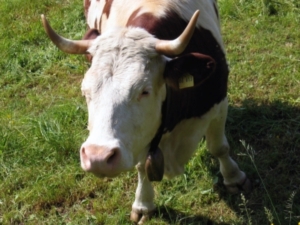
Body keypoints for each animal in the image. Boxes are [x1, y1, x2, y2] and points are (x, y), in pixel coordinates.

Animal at [40, 0, 251, 223]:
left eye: (144, 91)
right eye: (85, 92)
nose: (98, 158)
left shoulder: (219, 103)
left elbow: (219, 147)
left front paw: (234, 178)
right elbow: (141, 167)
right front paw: (143, 203)